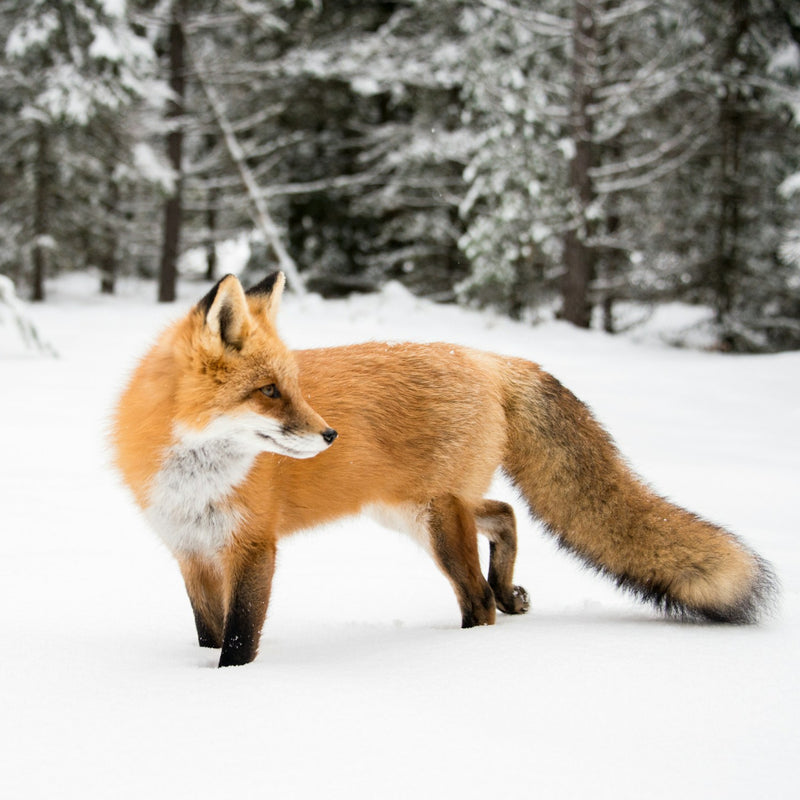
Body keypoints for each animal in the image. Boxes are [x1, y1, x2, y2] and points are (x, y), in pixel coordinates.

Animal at [111, 272, 776, 664]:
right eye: (270, 392)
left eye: (292, 387)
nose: (330, 434)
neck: (196, 479)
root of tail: (488, 358)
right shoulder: (191, 551)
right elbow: (208, 630)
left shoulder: (253, 547)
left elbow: (239, 637)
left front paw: (230, 686)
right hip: (412, 511)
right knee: (505, 514)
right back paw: (509, 592)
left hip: (434, 520)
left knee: (477, 598)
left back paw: (466, 645)